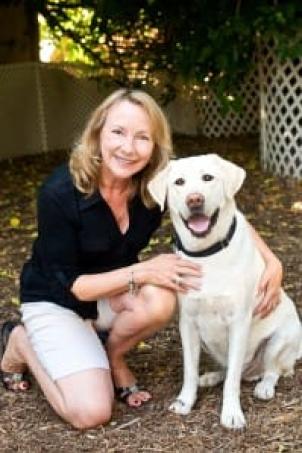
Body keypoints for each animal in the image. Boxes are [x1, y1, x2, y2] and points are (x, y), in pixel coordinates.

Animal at [147, 154, 300, 428]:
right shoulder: (187, 323)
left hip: (279, 340)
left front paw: (231, 413)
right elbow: (189, 371)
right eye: (179, 182)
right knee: (229, 369)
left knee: (271, 371)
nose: (194, 199)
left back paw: (264, 387)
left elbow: (232, 384)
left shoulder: (238, 322)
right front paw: (185, 401)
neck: (208, 255)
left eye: (208, 177)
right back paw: (211, 377)